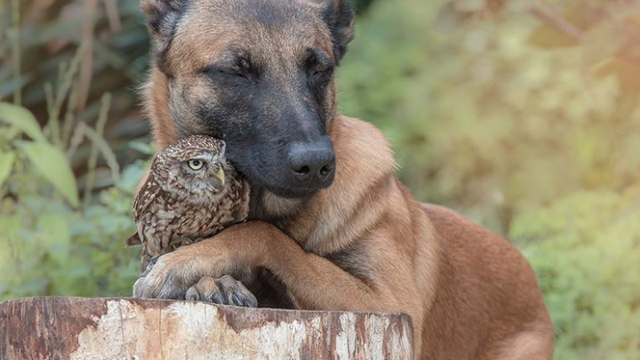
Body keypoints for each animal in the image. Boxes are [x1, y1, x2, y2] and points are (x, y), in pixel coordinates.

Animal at [132, 0, 552, 358]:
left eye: (319, 69)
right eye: (236, 71)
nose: (315, 163)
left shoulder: (391, 305)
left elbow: (266, 236)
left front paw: (186, 263)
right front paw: (211, 281)